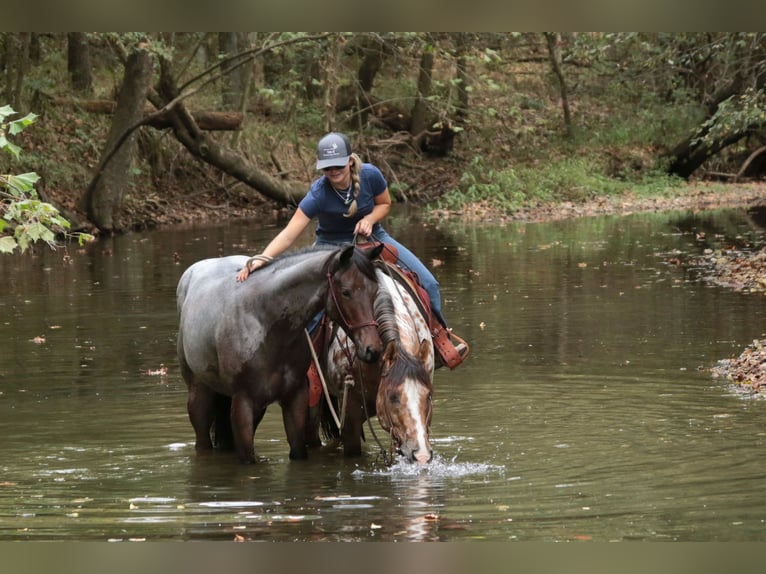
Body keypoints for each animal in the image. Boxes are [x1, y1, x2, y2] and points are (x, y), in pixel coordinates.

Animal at [176, 244, 384, 464]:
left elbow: (298, 451)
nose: (372, 349)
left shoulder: (295, 398)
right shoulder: (243, 402)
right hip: (199, 392)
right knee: (202, 439)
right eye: (346, 292)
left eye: (375, 291)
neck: (267, 321)